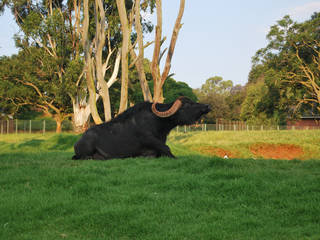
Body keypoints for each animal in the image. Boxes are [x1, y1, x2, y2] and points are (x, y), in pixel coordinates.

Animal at [73, 95, 211, 159]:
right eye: (187, 105)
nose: (207, 106)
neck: (158, 122)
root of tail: (78, 142)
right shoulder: (149, 139)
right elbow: (167, 149)